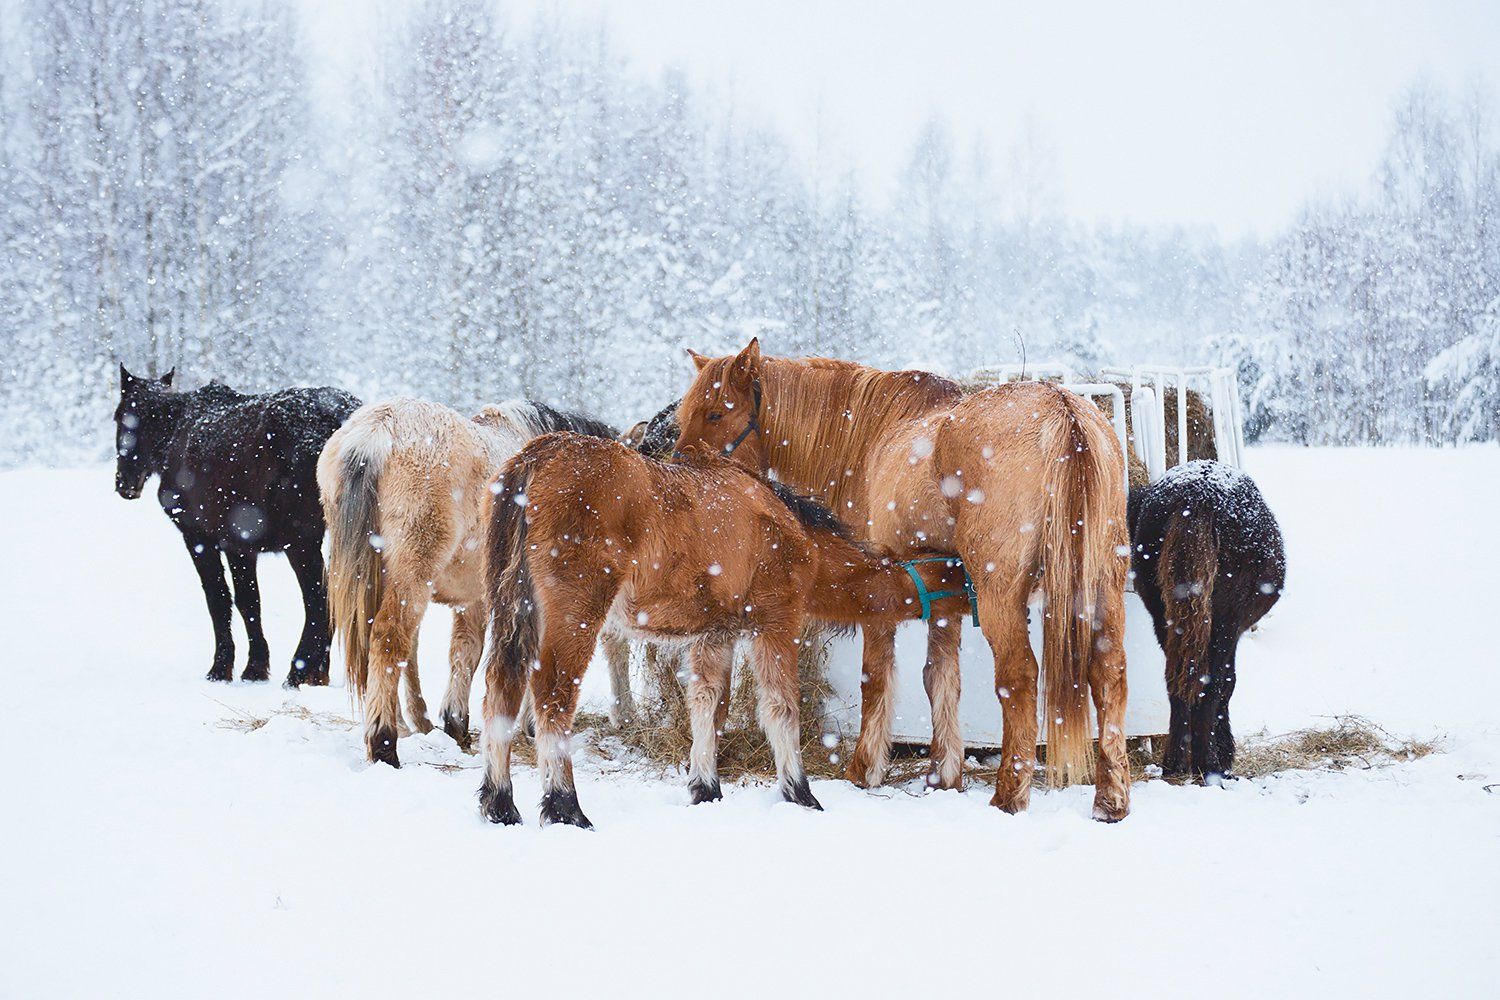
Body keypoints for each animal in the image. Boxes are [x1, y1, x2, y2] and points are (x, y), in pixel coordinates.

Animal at [114, 367, 360, 689]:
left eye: (120, 417)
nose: (124, 483)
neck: (176, 434)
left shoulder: (201, 539)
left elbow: (220, 600)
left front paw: (226, 668)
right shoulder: (240, 546)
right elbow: (249, 602)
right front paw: (255, 667)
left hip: (301, 542)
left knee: (318, 601)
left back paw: (298, 671)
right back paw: (316, 672)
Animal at [316, 398, 627, 767]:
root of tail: (374, 433)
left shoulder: (472, 600)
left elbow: (463, 651)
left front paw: (452, 723)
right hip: (411, 576)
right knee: (388, 640)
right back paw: (383, 742)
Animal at [477, 434, 972, 833]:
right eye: (958, 574)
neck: (792, 529)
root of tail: (537, 456)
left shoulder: (714, 634)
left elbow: (707, 704)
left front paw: (706, 787)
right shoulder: (775, 623)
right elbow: (780, 708)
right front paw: (800, 792)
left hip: (510, 610)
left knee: (501, 691)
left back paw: (500, 804)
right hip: (574, 613)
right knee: (552, 696)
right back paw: (565, 807)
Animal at [675, 340, 1128, 827]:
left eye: (716, 413)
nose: (684, 472)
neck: (867, 436)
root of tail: (1065, 413)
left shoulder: (876, 589)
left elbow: (875, 677)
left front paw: (865, 769)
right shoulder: (945, 599)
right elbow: (940, 676)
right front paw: (944, 775)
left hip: (1000, 595)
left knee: (1019, 677)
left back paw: (1010, 795)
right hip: (1104, 587)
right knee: (1109, 673)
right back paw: (1111, 800)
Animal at [1128, 461, 1284, 779]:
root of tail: (1196, 497)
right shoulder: (1233, 630)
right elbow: (1227, 683)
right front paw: (1224, 755)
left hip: (1165, 619)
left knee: (1176, 679)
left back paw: (1175, 764)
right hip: (1223, 620)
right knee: (1209, 681)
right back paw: (1209, 765)